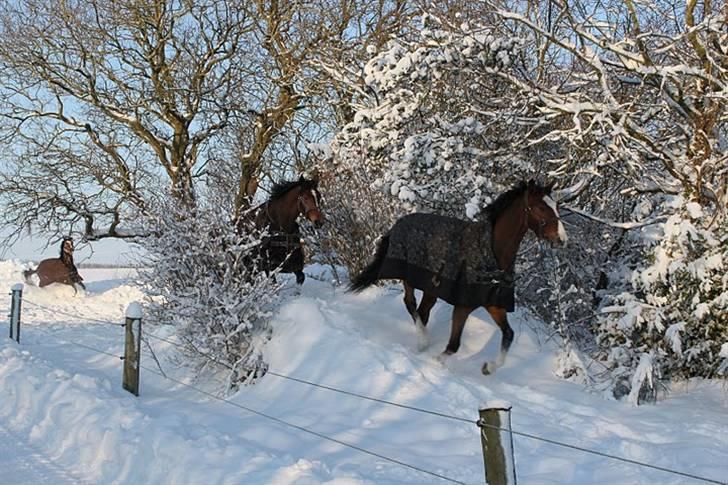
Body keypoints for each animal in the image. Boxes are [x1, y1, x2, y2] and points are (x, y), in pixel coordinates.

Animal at [350, 182, 564, 374]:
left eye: (556, 206)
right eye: (541, 207)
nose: (562, 238)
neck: (492, 252)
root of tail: (398, 224)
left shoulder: (493, 303)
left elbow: (508, 335)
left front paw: (488, 368)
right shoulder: (463, 305)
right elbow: (454, 345)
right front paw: (437, 362)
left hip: (431, 289)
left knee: (422, 311)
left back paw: (422, 342)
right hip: (409, 276)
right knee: (410, 303)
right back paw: (423, 340)